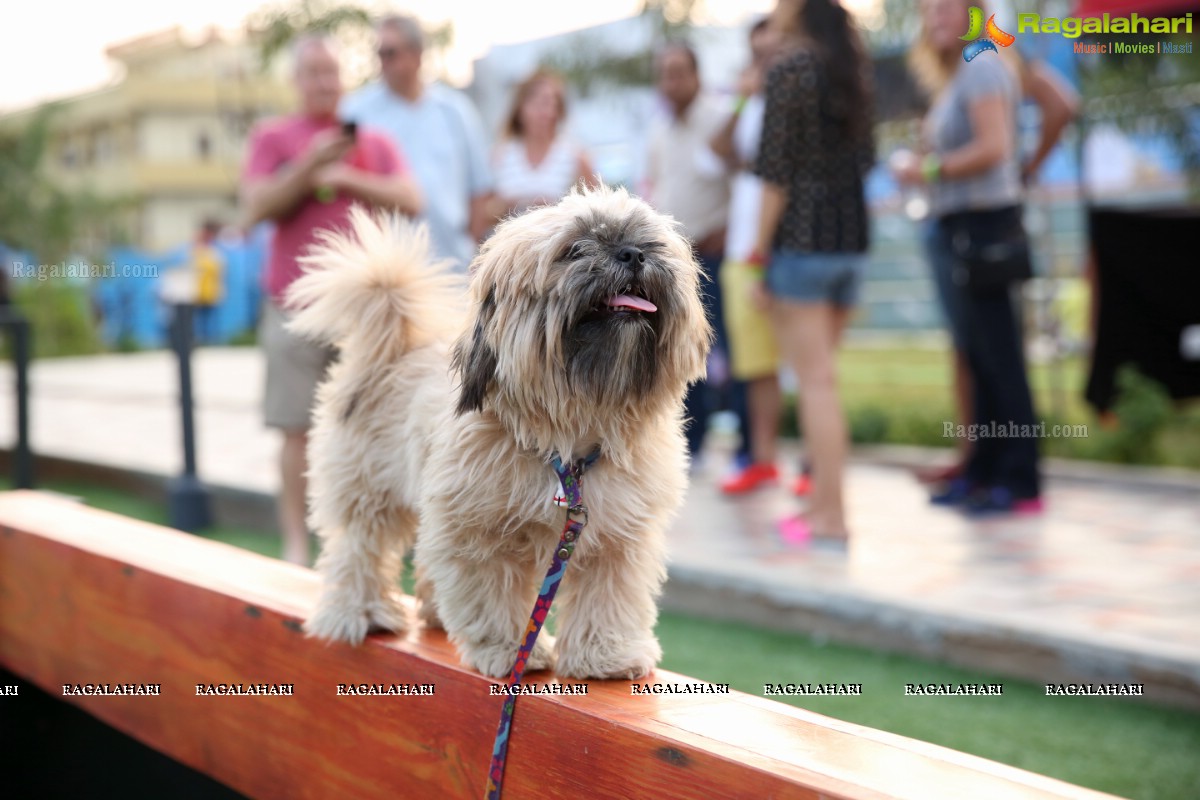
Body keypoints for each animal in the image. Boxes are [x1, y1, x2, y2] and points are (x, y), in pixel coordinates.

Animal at [291, 189, 710, 681]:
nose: (632, 254)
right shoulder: (476, 531)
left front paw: (605, 654)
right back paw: (359, 611)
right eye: (574, 250)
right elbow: (489, 593)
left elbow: (608, 596)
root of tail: (396, 346)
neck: (572, 434)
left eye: (648, 243)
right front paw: (508, 650)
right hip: (367, 486)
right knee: (358, 546)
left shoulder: (620, 536)